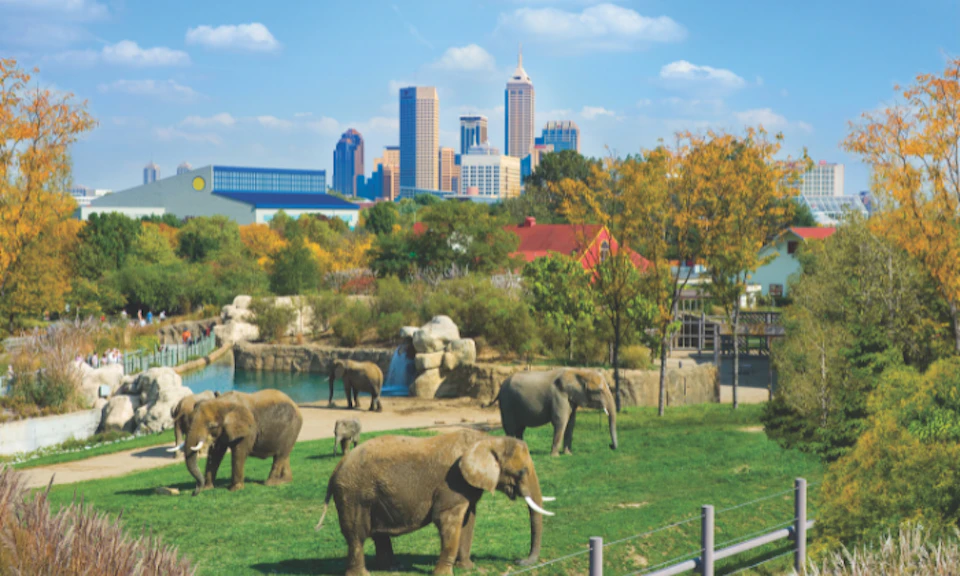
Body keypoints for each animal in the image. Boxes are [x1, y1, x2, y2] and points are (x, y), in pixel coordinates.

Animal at [174, 389, 303, 496]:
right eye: (189, 420)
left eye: (211, 426)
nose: (194, 492)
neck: (222, 402)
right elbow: (215, 453)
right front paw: (208, 488)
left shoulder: (249, 429)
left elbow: (239, 453)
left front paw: (235, 489)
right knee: (283, 455)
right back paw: (284, 481)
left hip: (292, 428)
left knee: (280, 456)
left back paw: (270, 483)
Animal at [316, 429, 554, 576]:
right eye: (521, 472)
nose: (519, 561)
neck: (487, 439)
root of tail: (336, 469)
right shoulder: (452, 483)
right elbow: (449, 520)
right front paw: (445, 573)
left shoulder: (466, 486)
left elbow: (468, 520)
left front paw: (468, 568)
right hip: (353, 495)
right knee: (356, 534)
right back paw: (364, 573)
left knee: (377, 534)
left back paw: (392, 567)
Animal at [487, 368, 618, 456]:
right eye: (599, 391)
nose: (611, 446)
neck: (578, 372)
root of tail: (500, 387)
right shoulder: (559, 396)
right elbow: (560, 421)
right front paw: (555, 456)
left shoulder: (571, 399)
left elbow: (571, 423)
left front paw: (568, 454)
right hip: (507, 402)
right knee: (510, 427)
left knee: (519, 429)